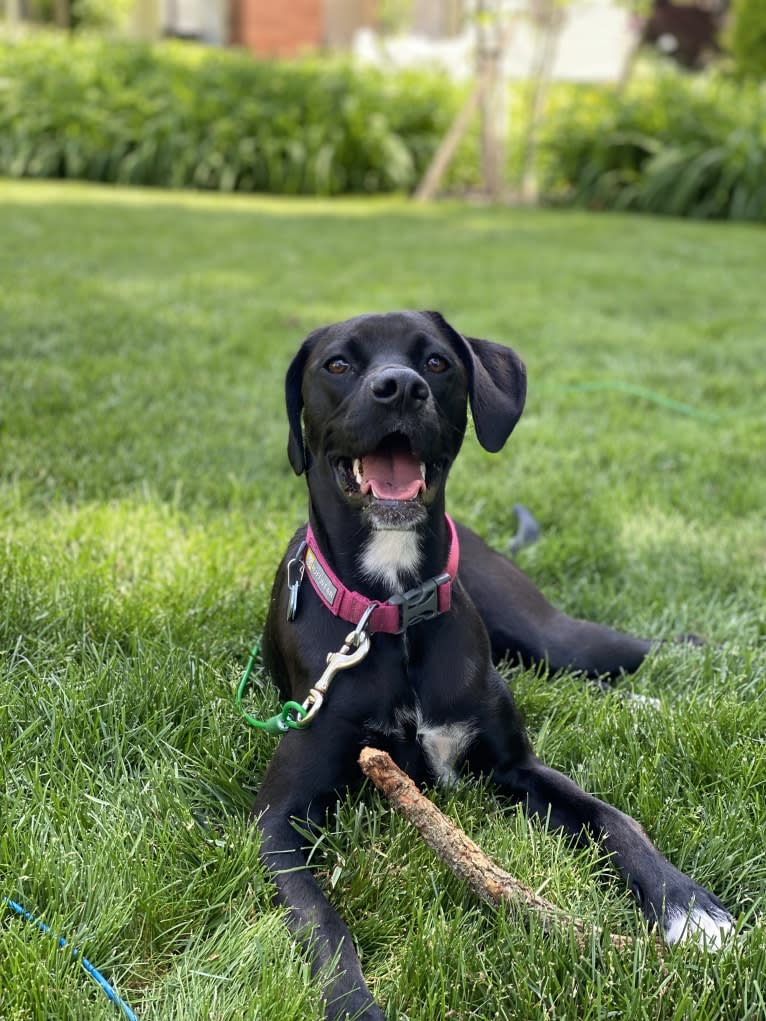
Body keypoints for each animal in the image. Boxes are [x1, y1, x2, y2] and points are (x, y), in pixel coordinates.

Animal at [256, 310, 731, 1021]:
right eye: (338, 364)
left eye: (436, 362)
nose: (400, 388)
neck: (392, 608)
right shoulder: (278, 819)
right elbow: (322, 921)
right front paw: (353, 1002)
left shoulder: (519, 768)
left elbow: (614, 819)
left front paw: (687, 906)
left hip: (554, 636)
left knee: (646, 651)